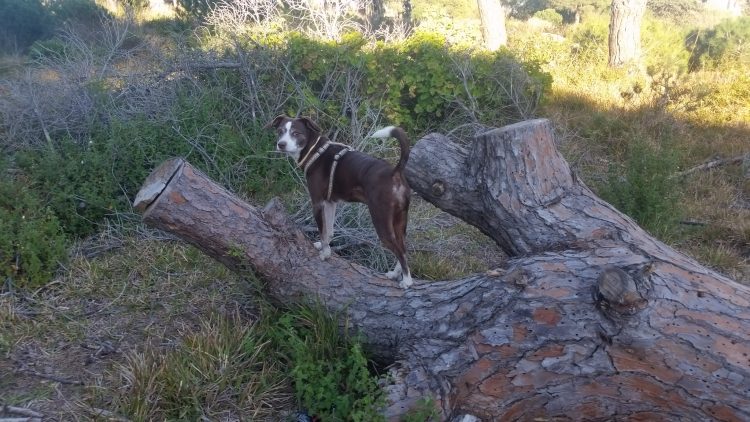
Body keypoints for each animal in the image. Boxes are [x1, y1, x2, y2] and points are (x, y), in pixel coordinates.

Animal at [266, 113, 418, 288]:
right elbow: (329, 230)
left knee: (399, 250)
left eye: (296, 133)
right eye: (280, 131)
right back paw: (395, 274)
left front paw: (325, 253)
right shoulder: (330, 203)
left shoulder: (317, 203)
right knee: (403, 248)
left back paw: (407, 281)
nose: (281, 144)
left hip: (381, 220)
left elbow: (322, 230)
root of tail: (395, 171)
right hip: (399, 221)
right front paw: (323, 246)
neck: (315, 150)